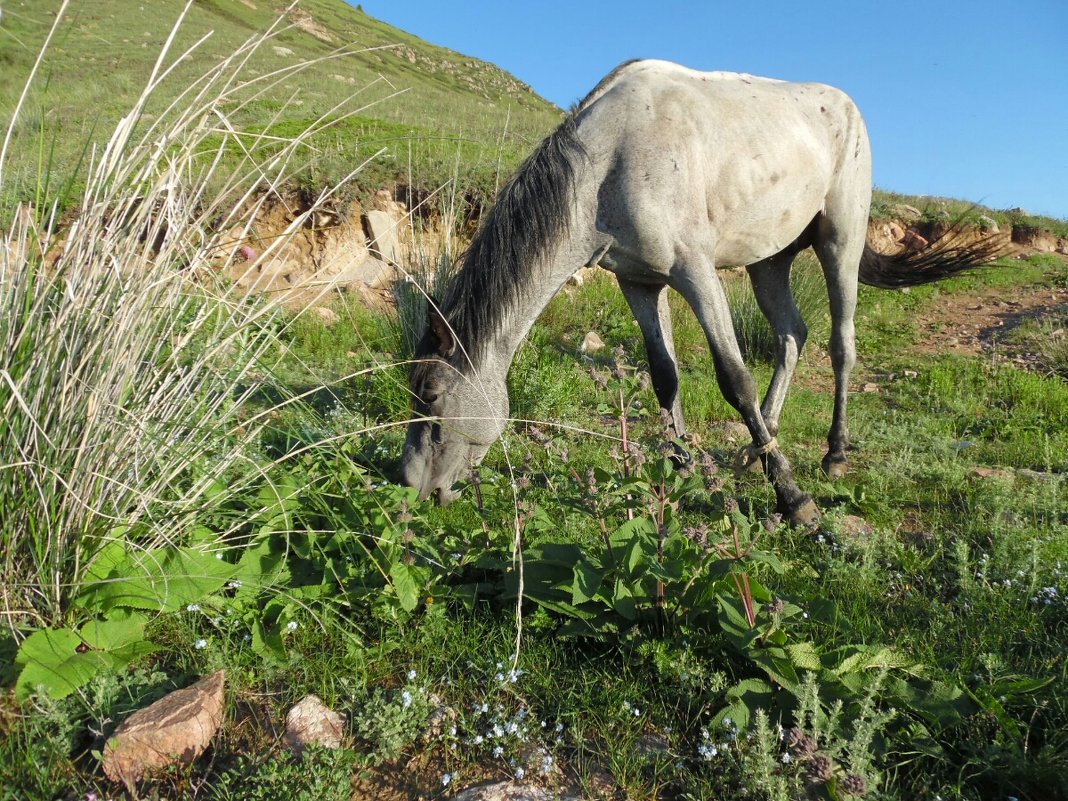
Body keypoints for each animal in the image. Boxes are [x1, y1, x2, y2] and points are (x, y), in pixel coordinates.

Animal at [401, 62, 999, 527]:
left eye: (431, 398)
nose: (410, 485)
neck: (608, 164)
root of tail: (845, 104)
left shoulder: (696, 272)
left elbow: (734, 379)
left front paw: (794, 500)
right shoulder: (640, 282)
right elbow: (664, 376)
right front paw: (682, 464)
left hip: (841, 242)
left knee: (840, 345)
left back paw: (833, 455)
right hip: (768, 261)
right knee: (791, 335)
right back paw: (758, 447)